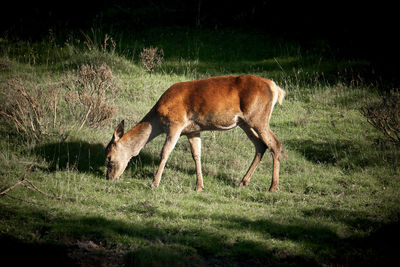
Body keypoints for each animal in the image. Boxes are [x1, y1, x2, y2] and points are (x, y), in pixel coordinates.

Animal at [105, 75, 284, 193]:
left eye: (109, 158)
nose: (108, 178)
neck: (157, 120)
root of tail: (276, 88)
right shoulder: (192, 130)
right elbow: (196, 155)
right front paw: (199, 186)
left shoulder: (175, 124)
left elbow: (165, 152)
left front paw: (154, 183)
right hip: (245, 122)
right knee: (261, 144)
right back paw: (243, 182)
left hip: (258, 117)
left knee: (275, 143)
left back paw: (273, 187)